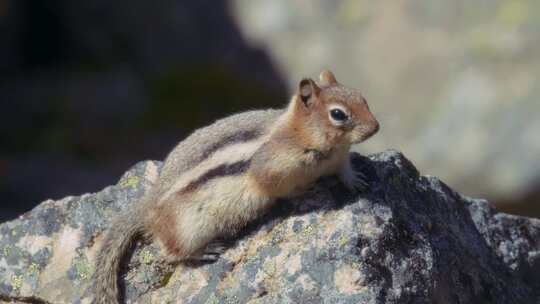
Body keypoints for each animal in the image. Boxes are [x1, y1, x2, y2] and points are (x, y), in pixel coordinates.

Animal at [93, 70, 380, 302]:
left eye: (363, 98)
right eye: (338, 114)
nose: (376, 127)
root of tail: (147, 206)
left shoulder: (339, 158)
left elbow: (344, 170)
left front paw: (356, 180)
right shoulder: (272, 170)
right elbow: (278, 188)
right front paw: (308, 191)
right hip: (187, 229)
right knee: (169, 252)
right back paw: (202, 251)